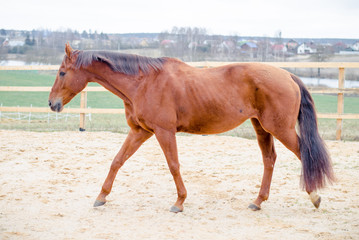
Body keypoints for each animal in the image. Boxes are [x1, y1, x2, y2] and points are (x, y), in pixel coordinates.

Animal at [48, 44, 334, 213]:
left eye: (62, 73)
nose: (52, 104)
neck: (143, 82)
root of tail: (288, 75)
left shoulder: (163, 131)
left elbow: (173, 165)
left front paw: (179, 202)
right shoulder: (140, 132)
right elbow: (117, 161)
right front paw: (101, 196)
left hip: (279, 129)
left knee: (304, 154)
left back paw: (314, 196)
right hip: (262, 127)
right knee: (269, 160)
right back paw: (257, 201)